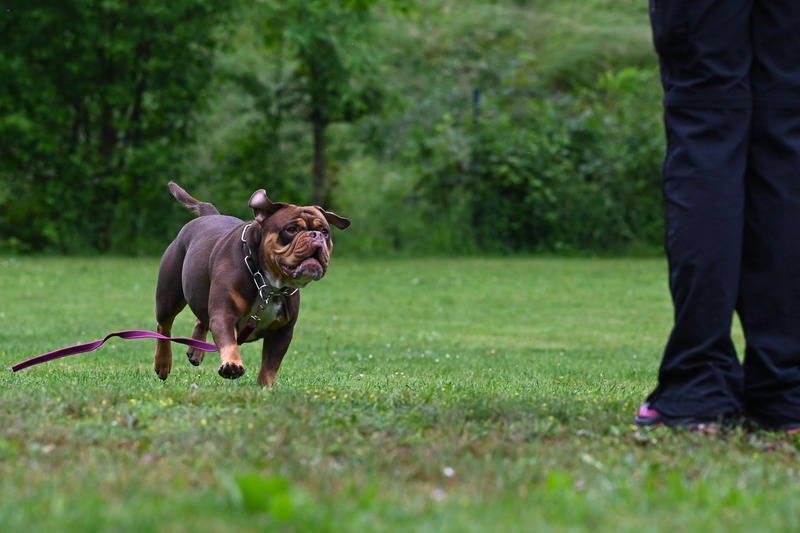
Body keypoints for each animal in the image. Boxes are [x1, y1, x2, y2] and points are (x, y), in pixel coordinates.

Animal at [153, 181, 350, 386]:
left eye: (325, 232)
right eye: (291, 230)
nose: (315, 234)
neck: (269, 284)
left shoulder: (283, 331)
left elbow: (270, 365)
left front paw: (264, 386)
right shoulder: (224, 313)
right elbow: (228, 340)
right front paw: (232, 364)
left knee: (201, 318)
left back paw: (196, 351)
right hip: (169, 297)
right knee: (164, 327)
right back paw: (163, 363)